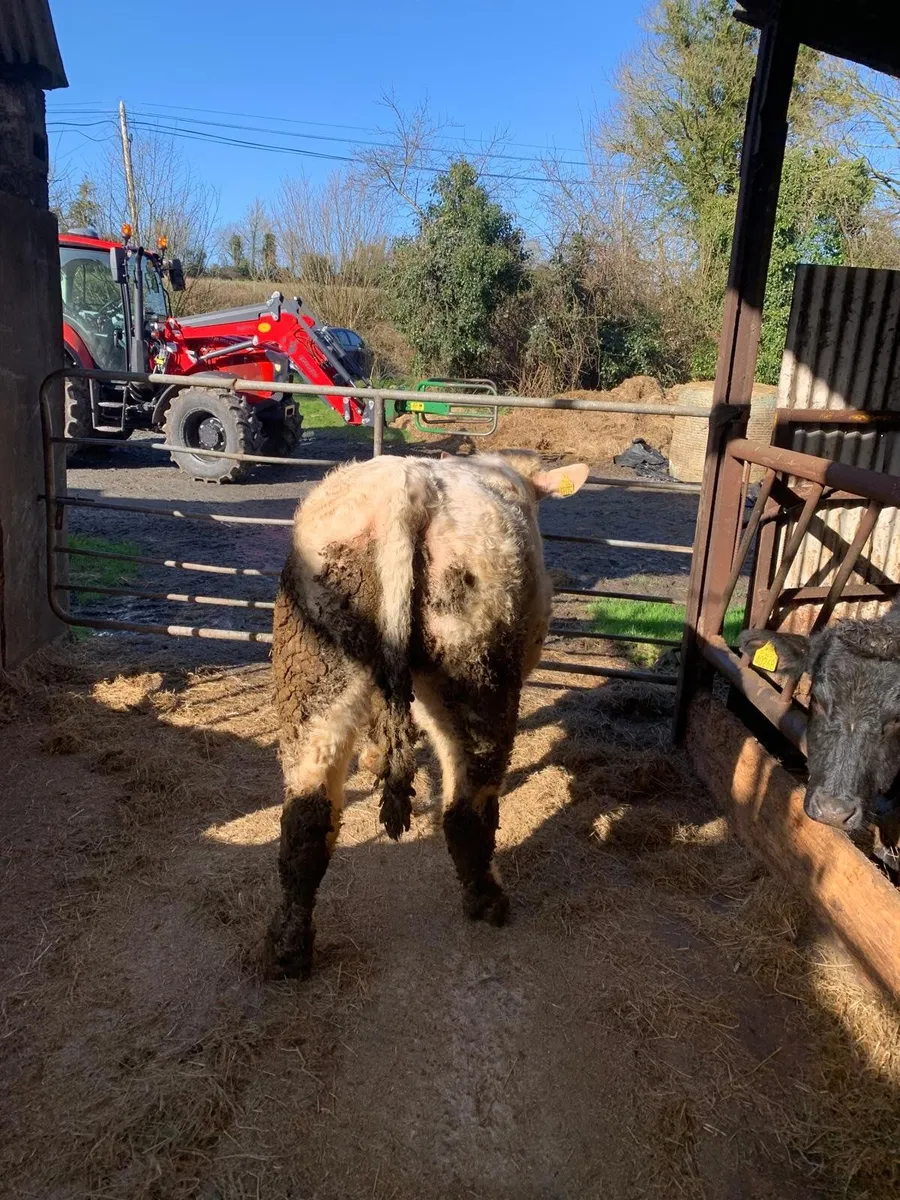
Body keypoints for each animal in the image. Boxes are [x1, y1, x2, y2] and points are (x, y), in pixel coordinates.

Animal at [263, 449, 589, 978]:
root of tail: (406, 491)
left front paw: (375, 759)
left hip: (314, 667)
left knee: (306, 818)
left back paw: (287, 950)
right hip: (477, 669)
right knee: (467, 804)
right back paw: (486, 900)